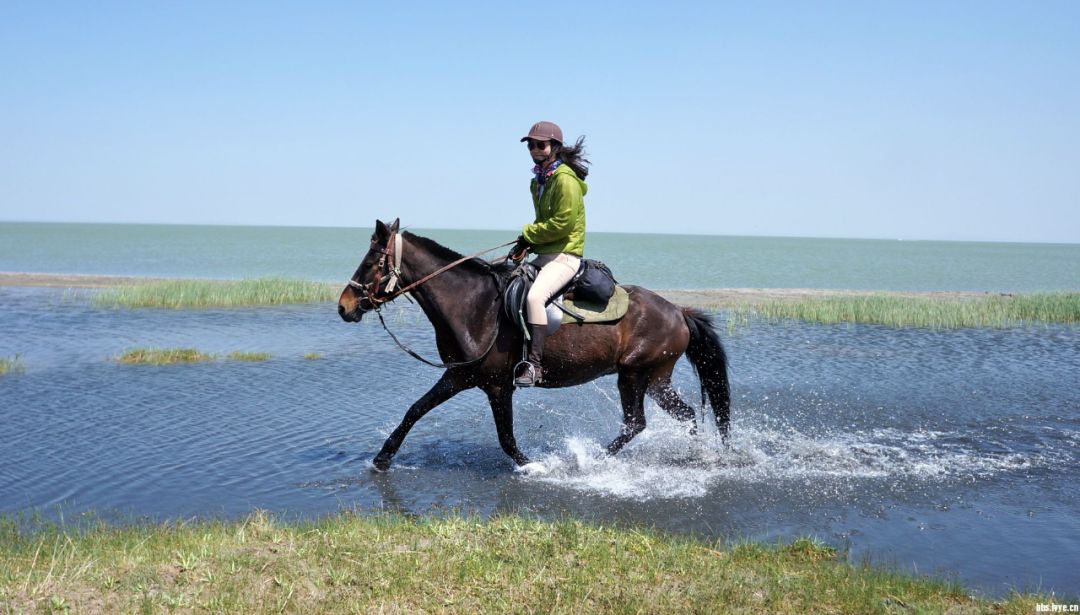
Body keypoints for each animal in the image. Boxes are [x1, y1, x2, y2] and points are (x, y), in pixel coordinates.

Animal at [334, 217, 725, 469]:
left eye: (371, 263)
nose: (344, 306)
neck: (473, 305)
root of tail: (678, 311)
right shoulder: (458, 377)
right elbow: (415, 410)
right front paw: (382, 458)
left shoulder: (496, 385)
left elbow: (506, 437)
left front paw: (531, 465)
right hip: (656, 378)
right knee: (683, 415)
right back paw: (695, 456)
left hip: (633, 375)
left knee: (635, 423)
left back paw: (592, 460)